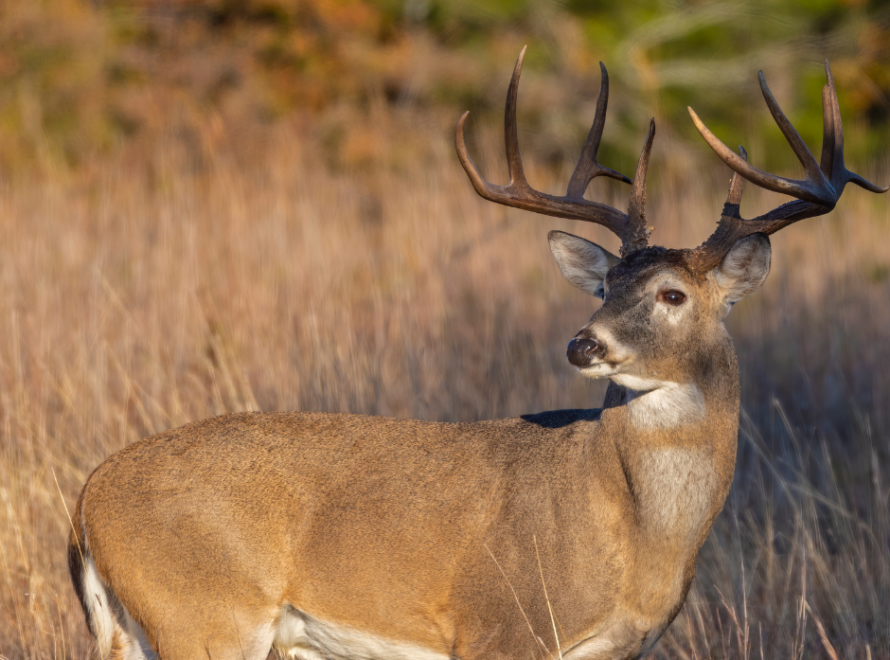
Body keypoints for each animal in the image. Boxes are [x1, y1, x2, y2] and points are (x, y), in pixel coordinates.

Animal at [68, 48, 887, 660]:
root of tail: (85, 501)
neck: (631, 530)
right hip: (204, 615)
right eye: (606, 284)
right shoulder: (498, 626)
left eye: (672, 294)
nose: (583, 342)